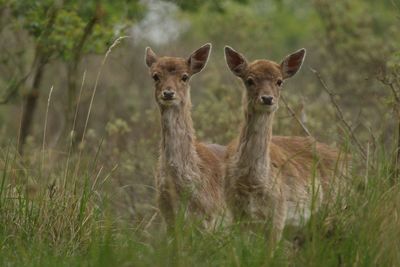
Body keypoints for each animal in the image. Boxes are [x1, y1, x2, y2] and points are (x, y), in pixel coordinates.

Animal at [223, 45, 346, 245]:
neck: (251, 183)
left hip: (335, 205)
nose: (267, 98)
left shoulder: (279, 212)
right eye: (249, 80)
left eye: (279, 81)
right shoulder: (235, 211)